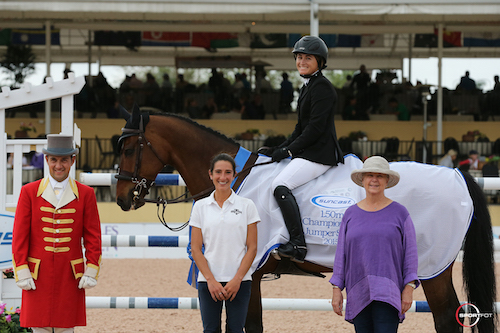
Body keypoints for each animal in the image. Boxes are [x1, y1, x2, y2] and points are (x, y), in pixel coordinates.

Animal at [115, 107, 494, 332]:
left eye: (129, 148)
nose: (121, 198)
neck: (235, 179)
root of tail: (458, 176)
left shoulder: (250, 271)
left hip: (432, 266)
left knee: (447, 317)